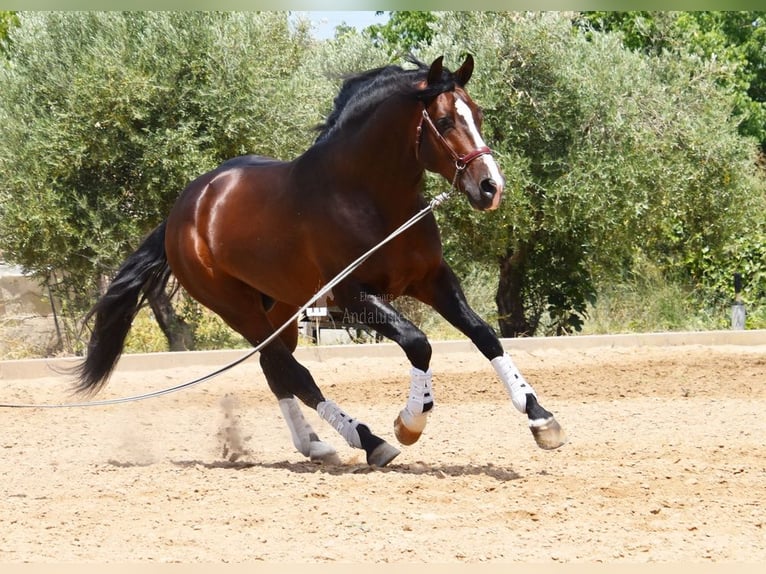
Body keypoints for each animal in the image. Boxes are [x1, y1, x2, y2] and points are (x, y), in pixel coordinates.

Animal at [75, 55, 568, 468]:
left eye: (478, 115)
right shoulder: (351, 296)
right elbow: (418, 343)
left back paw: (314, 445)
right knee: (294, 372)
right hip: (239, 310)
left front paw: (540, 417)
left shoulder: (432, 280)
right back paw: (367, 440)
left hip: (280, 309)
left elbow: (484, 335)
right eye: (445, 120)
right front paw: (408, 422)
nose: (491, 188)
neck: (369, 197)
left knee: (275, 371)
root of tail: (184, 208)